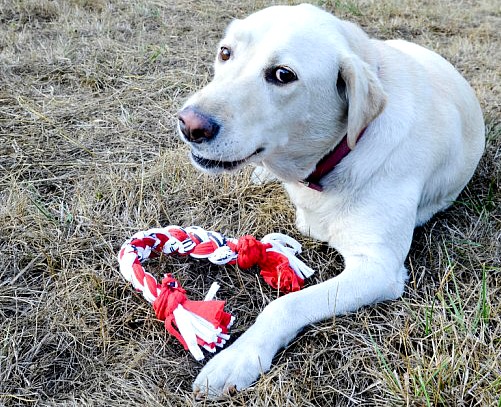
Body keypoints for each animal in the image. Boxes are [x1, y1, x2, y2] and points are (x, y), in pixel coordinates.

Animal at [177, 3, 484, 398]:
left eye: (283, 74)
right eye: (225, 53)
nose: (189, 125)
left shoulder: (378, 268)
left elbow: (285, 305)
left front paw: (238, 357)